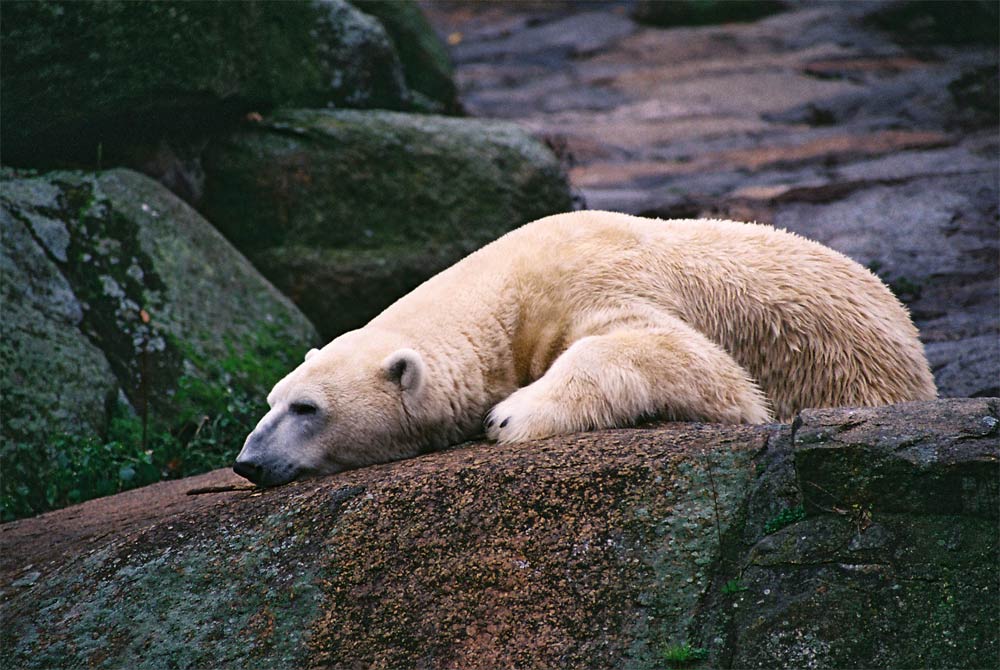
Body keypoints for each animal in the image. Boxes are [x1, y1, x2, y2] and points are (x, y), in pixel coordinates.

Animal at [232, 213, 936, 486]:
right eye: (270, 400)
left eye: (307, 409)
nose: (247, 462)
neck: (506, 288)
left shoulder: (597, 280)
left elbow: (690, 361)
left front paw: (510, 415)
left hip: (855, 371)